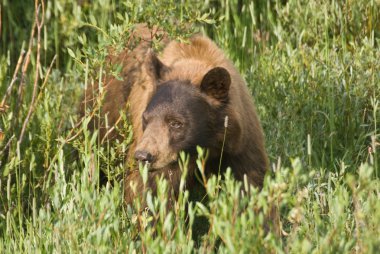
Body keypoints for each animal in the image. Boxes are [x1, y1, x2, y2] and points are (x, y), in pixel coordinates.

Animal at [79, 23, 268, 207]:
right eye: (145, 119)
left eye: (176, 123)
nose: (143, 156)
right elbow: (149, 192)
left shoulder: (240, 146)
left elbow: (250, 183)